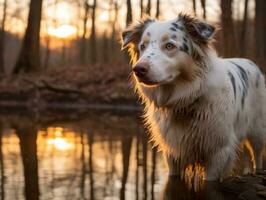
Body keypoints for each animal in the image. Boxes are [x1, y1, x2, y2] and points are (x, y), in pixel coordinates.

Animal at [121, 12, 266, 181]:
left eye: (169, 46)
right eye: (143, 46)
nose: (138, 69)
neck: (186, 99)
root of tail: (250, 62)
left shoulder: (218, 152)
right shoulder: (173, 152)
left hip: (258, 130)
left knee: (258, 154)